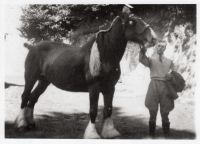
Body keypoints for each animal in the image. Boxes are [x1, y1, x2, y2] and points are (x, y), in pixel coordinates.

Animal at [14, 7, 157, 138]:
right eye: (132, 21)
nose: (154, 38)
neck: (105, 54)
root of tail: (32, 47)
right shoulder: (94, 87)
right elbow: (93, 110)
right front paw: (92, 134)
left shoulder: (110, 88)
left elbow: (108, 109)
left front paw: (110, 132)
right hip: (30, 77)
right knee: (25, 96)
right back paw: (22, 124)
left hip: (44, 81)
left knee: (33, 98)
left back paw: (31, 124)